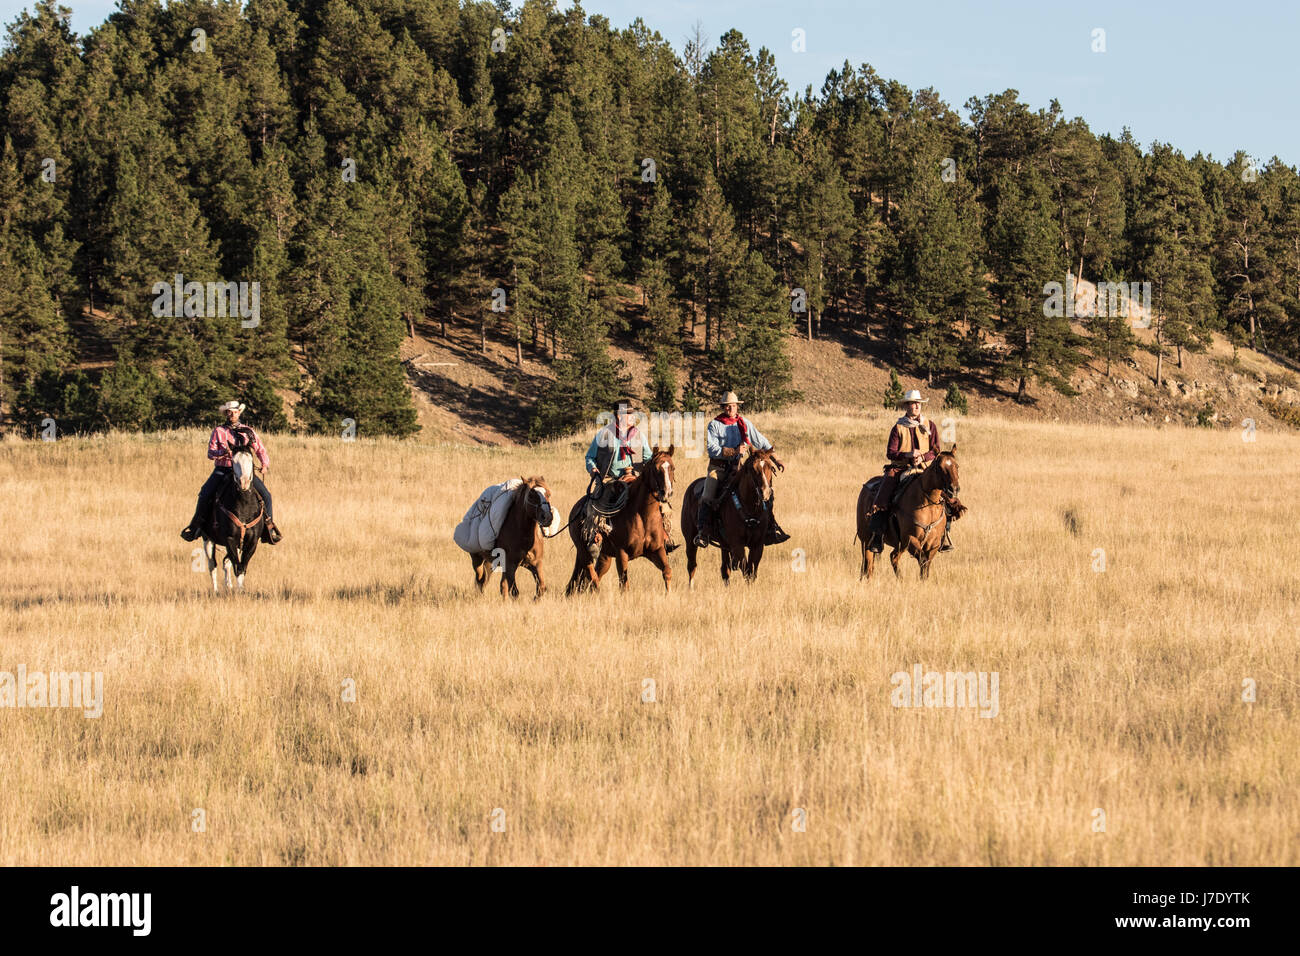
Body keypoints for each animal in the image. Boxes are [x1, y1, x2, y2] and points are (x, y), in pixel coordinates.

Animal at [564, 447, 676, 595]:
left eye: (673, 468)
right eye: (656, 469)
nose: (666, 492)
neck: (642, 516)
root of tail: (576, 509)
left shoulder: (656, 550)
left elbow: (667, 571)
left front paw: (669, 594)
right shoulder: (621, 553)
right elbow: (624, 584)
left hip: (604, 556)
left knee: (594, 575)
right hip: (584, 550)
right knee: (592, 575)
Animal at [681, 450, 780, 590]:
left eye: (771, 467)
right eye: (752, 469)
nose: (765, 492)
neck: (750, 509)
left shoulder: (757, 545)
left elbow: (752, 571)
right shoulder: (737, 545)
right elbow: (746, 569)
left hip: (724, 545)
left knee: (725, 569)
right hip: (690, 539)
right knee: (692, 565)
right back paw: (691, 588)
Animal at [852, 450, 967, 582]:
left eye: (957, 466)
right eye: (939, 467)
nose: (954, 489)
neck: (928, 505)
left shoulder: (934, 543)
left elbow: (926, 564)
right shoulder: (910, 539)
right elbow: (923, 560)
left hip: (899, 545)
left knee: (893, 557)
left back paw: (900, 579)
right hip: (866, 539)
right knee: (868, 563)